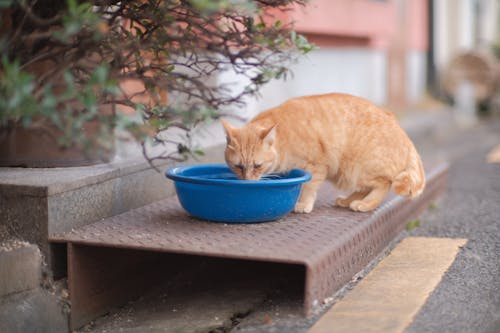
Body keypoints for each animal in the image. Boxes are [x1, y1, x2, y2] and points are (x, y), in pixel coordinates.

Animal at [223, 92, 426, 213]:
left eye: (257, 166)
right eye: (238, 166)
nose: (247, 181)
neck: (284, 138)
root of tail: (405, 136)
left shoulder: (315, 165)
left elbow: (308, 187)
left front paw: (303, 204)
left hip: (359, 169)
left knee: (384, 184)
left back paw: (365, 204)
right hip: (351, 174)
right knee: (366, 188)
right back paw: (347, 201)